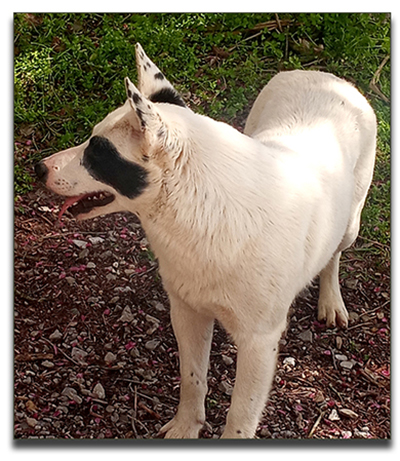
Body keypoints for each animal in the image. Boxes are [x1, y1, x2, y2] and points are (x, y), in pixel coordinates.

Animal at [36, 43, 376, 438]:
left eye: (97, 153)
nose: (38, 168)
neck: (205, 209)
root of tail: (324, 76)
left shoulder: (259, 342)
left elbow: (241, 416)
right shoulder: (187, 313)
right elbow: (192, 377)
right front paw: (187, 426)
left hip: (350, 223)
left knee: (334, 255)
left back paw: (331, 299)